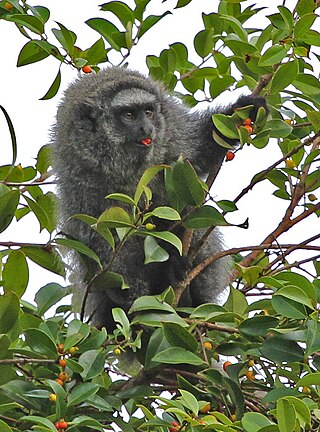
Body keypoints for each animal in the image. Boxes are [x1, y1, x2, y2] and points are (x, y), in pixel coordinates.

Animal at [53, 67, 268, 330]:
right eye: (128, 115)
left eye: (148, 112)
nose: (147, 128)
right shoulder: (81, 181)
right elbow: (105, 241)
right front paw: (139, 298)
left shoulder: (172, 132)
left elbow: (200, 149)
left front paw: (243, 112)